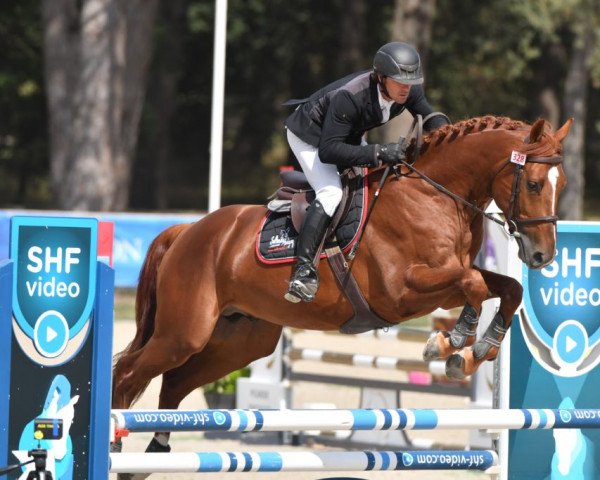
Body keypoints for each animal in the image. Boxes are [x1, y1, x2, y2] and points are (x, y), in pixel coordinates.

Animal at [113, 115, 572, 442]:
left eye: (561, 184)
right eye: (533, 184)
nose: (542, 255)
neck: (435, 195)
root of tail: (187, 231)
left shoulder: (450, 279)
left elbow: (507, 288)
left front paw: (477, 349)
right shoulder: (403, 290)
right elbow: (474, 286)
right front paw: (451, 343)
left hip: (238, 341)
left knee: (173, 384)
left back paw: (151, 455)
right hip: (184, 333)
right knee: (129, 373)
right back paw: (116, 439)